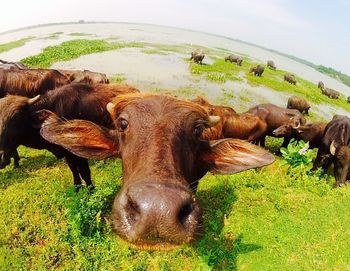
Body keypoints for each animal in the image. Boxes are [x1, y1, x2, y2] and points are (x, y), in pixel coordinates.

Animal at [0, 83, 139, 189]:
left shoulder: (79, 153)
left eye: (16, 118)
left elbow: (84, 172)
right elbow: (73, 169)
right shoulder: (67, 153)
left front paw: (90, 190)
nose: (1, 157)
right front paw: (77, 187)